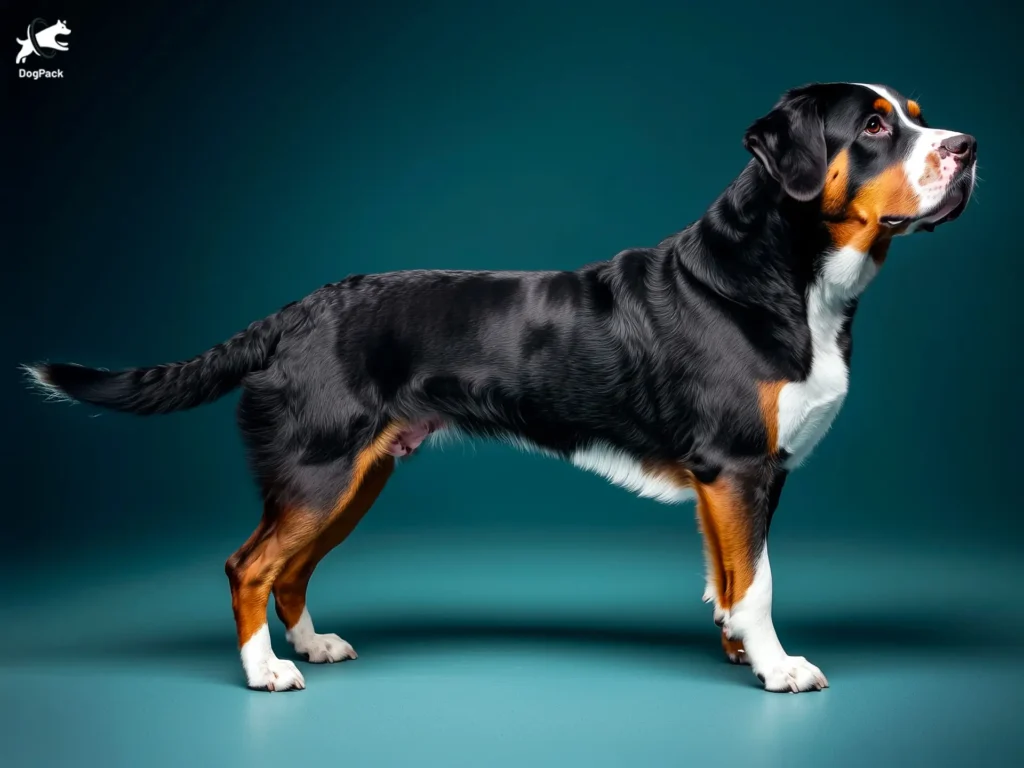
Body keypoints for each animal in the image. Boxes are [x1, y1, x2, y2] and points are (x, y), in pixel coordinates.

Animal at [25, 81, 974, 696]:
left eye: (921, 119)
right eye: (877, 126)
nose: (968, 150)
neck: (787, 275)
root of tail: (294, 311)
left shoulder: (740, 478)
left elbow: (733, 578)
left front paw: (742, 651)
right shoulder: (738, 465)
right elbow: (759, 581)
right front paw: (779, 667)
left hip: (355, 477)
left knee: (290, 569)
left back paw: (313, 645)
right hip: (319, 469)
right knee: (250, 565)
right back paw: (267, 671)